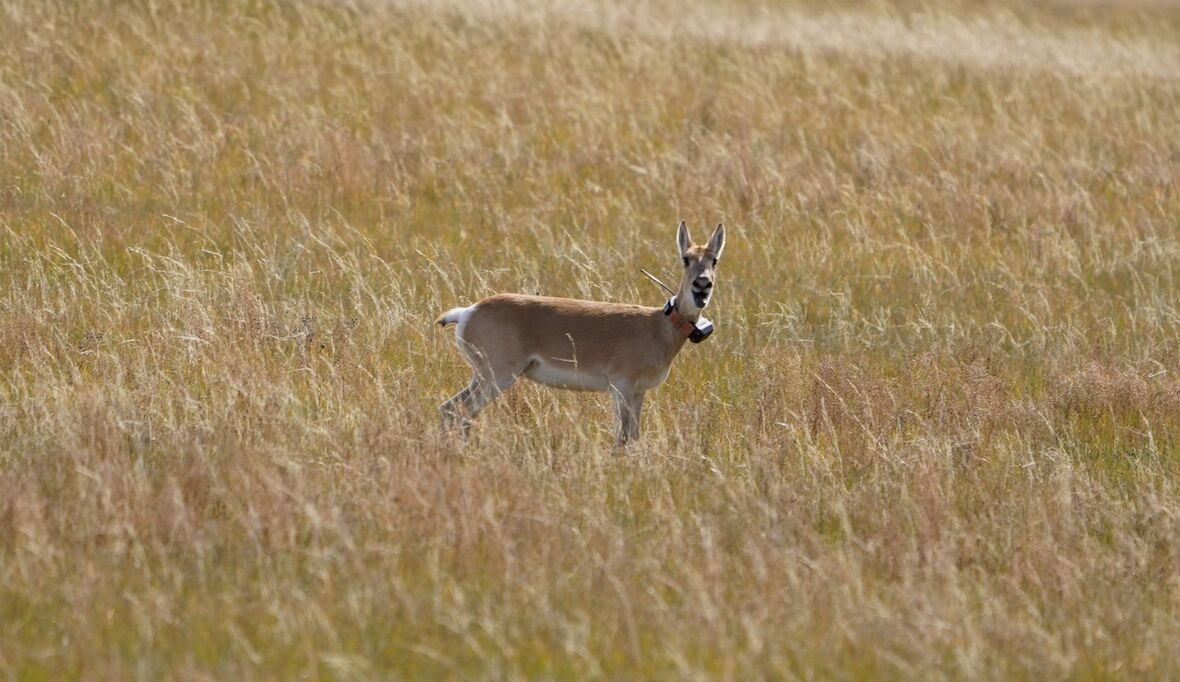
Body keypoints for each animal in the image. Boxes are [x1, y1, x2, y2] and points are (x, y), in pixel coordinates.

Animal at [436, 220, 722, 443]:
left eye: (714, 260)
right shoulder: (622, 388)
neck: (657, 327)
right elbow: (623, 437)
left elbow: (634, 436)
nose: (702, 285)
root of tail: (468, 311)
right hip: (497, 377)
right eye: (686, 258)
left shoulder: (639, 392)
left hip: (483, 377)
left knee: (450, 409)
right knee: (460, 411)